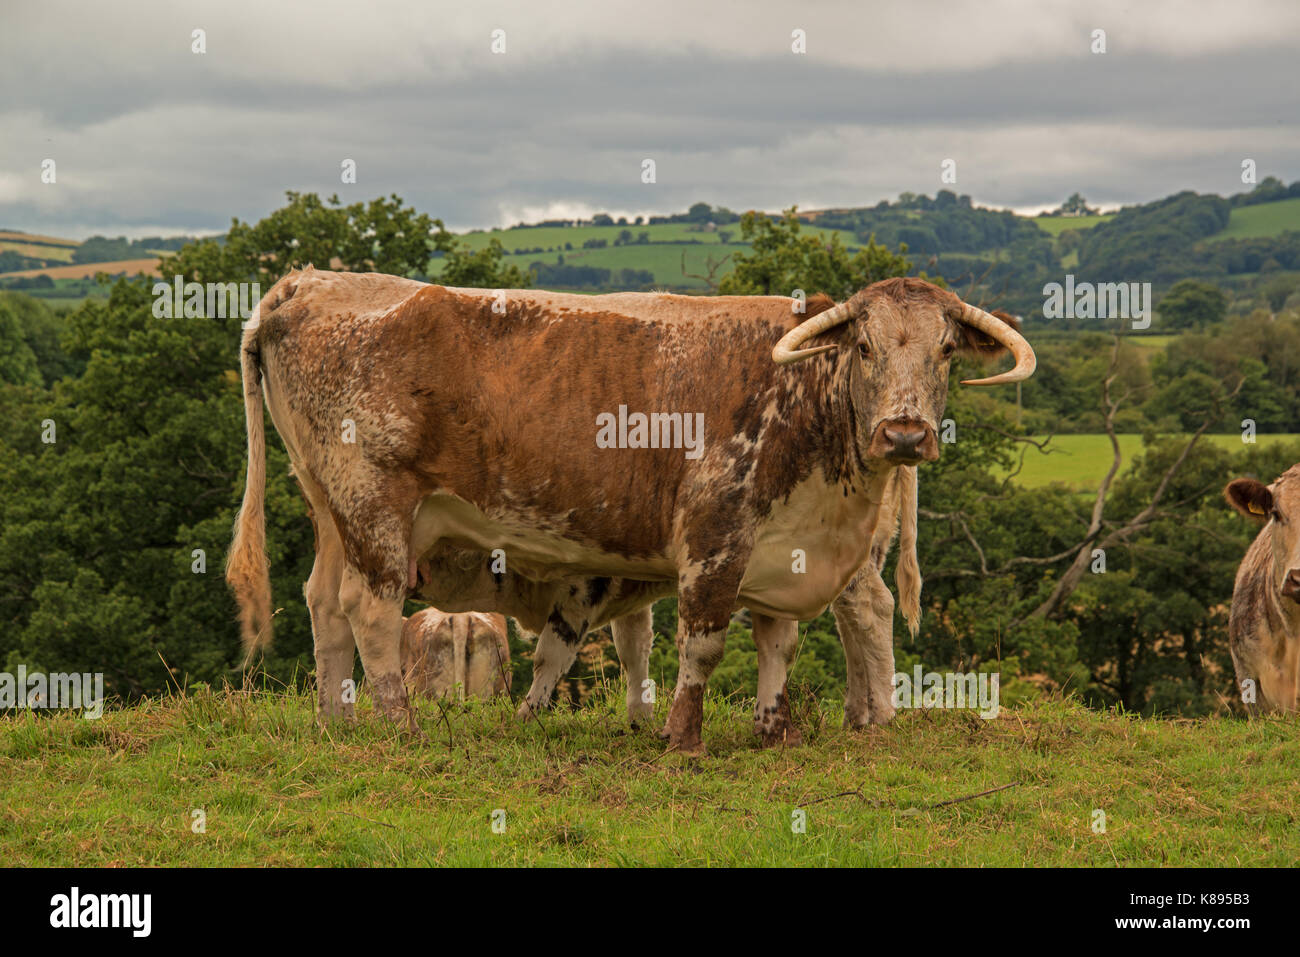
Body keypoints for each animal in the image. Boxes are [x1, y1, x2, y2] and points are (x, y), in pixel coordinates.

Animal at [226, 269, 1034, 754]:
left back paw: (334, 723)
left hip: (329, 505)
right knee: (370, 608)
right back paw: (400, 726)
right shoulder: (716, 534)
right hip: (374, 506)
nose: (904, 433)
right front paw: (681, 739)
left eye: (946, 353)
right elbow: (700, 645)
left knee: (324, 603)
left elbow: (777, 643)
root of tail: (310, 281)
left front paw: (772, 732)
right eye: (864, 347)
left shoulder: (783, 547)